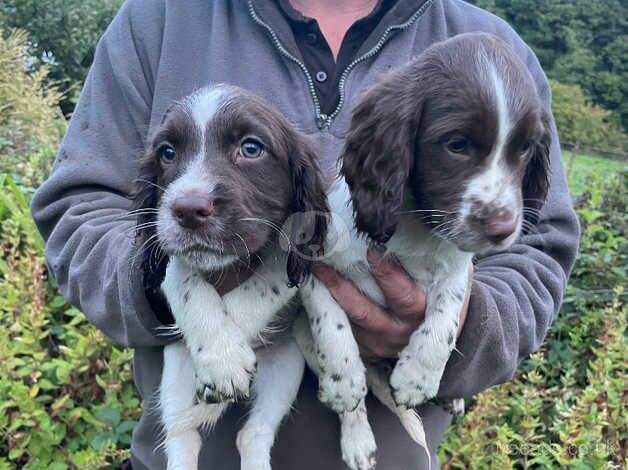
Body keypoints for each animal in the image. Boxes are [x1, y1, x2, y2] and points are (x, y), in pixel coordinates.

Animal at [133, 85, 328, 470]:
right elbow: (185, 279)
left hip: (286, 365)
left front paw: (229, 352)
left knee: (252, 434)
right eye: (167, 152)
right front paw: (221, 357)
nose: (187, 210)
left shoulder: (289, 253)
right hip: (175, 368)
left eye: (251, 148)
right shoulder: (169, 256)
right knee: (181, 437)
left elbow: (260, 288)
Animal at [294, 31, 548, 468]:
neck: (416, 227)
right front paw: (344, 384)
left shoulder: (458, 268)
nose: (503, 228)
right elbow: (333, 326)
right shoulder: (316, 263)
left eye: (525, 148)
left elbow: (446, 317)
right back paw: (357, 438)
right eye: (456, 144)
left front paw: (419, 376)